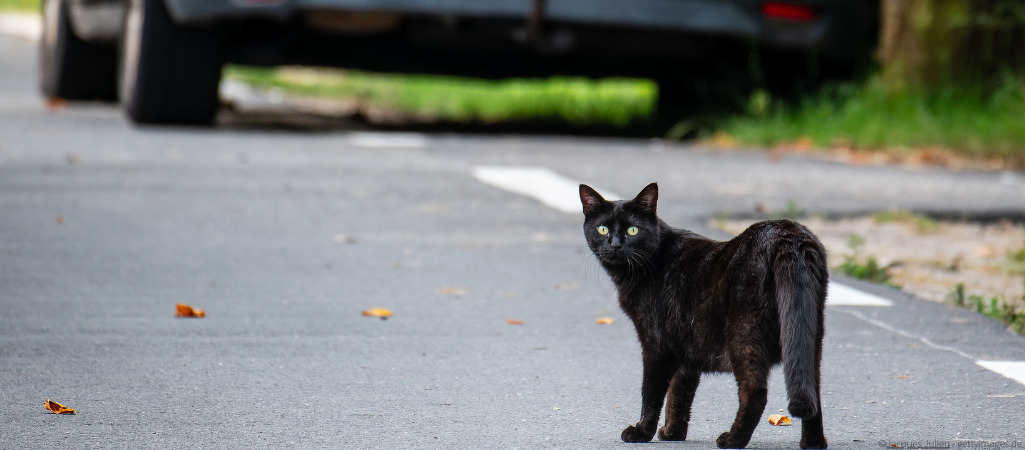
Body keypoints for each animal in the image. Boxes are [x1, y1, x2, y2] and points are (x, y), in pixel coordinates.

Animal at [582, 184, 828, 450]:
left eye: (632, 230)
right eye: (602, 229)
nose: (615, 245)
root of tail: (787, 234)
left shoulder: (655, 345)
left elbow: (652, 393)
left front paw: (641, 432)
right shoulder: (686, 347)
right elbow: (679, 393)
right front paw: (672, 432)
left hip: (744, 335)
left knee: (755, 392)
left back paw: (732, 439)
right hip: (809, 337)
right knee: (813, 389)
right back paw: (813, 442)